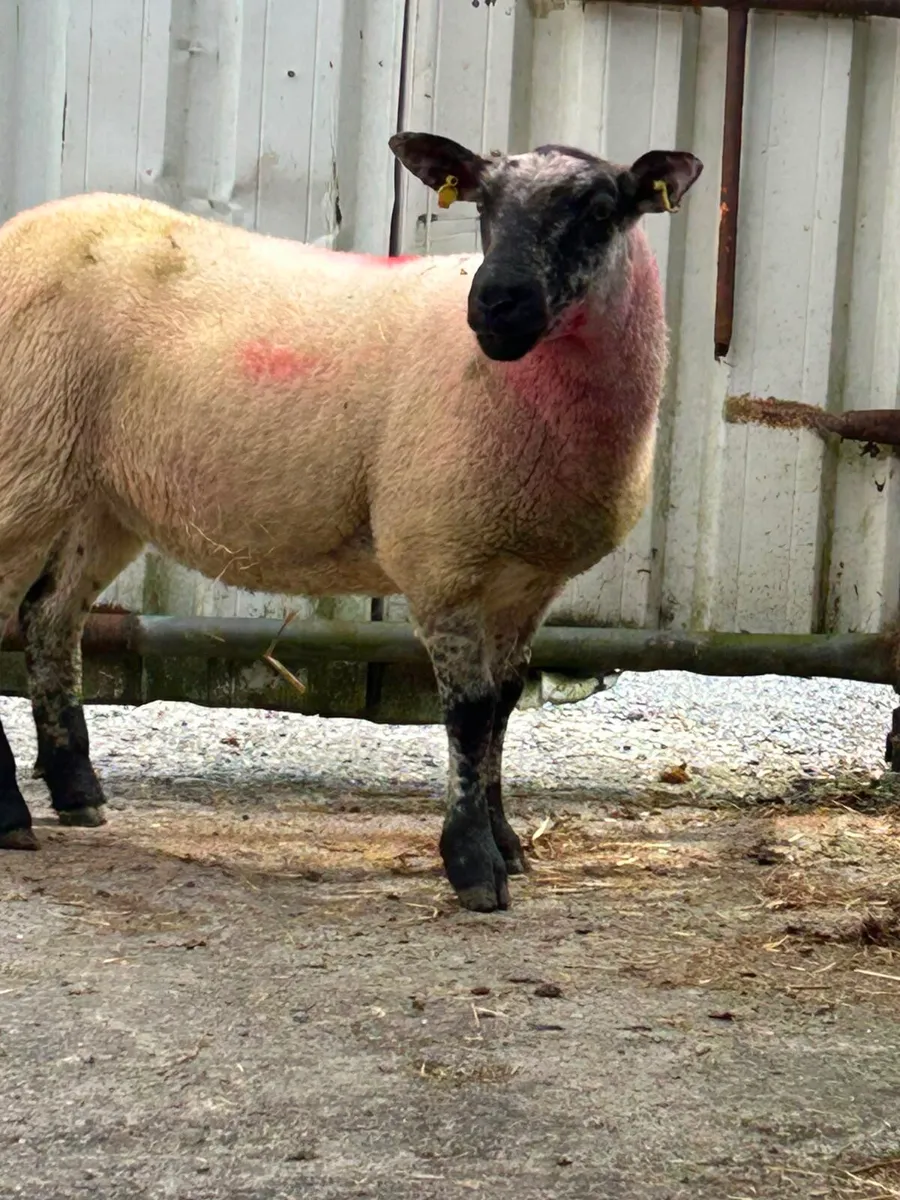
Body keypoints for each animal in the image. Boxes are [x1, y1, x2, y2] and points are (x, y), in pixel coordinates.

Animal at [0, 131, 702, 912]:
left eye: (602, 209)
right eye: (482, 203)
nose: (494, 304)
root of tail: (17, 231)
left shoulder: (528, 582)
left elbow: (503, 707)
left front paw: (508, 844)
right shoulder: (443, 559)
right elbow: (468, 713)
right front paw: (473, 864)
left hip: (98, 493)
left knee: (49, 618)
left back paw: (76, 791)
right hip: (20, 463)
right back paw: (9, 814)